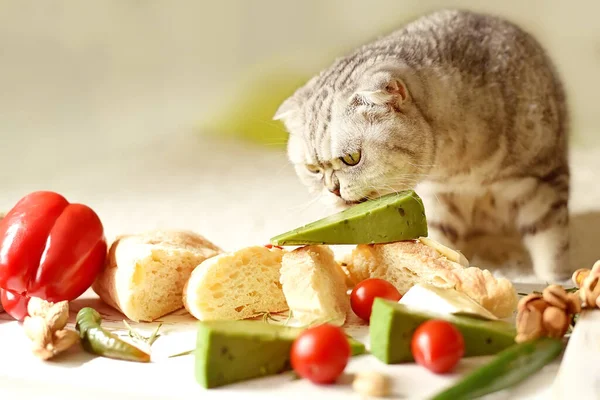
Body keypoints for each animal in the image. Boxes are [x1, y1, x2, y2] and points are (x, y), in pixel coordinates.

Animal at [274, 8, 568, 282]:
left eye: (352, 158)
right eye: (313, 170)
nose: (332, 189)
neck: (461, 168)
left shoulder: (542, 183)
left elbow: (550, 243)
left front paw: (554, 282)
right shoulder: (439, 200)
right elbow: (438, 244)